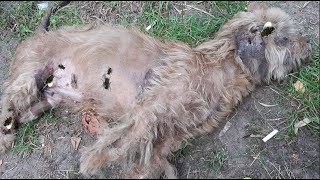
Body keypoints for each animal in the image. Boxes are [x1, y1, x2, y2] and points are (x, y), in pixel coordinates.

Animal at [0, 1, 312, 179]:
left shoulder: (173, 133)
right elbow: (122, 143)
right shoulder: (148, 110)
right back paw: (5, 139)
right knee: (7, 103)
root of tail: (40, 33)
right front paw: (94, 162)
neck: (220, 66)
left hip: (45, 99)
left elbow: (151, 157)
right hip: (27, 77)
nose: (309, 45)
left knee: (23, 112)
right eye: (282, 39)